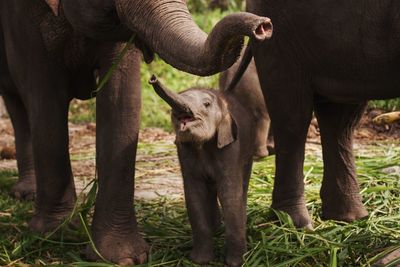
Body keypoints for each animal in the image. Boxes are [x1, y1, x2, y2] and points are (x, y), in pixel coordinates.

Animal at [150, 74, 256, 266]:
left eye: (206, 104)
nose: (152, 78)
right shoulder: (184, 151)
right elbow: (194, 195)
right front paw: (199, 260)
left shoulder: (230, 149)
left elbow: (230, 195)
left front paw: (236, 262)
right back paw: (215, 228)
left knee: (241, 187)